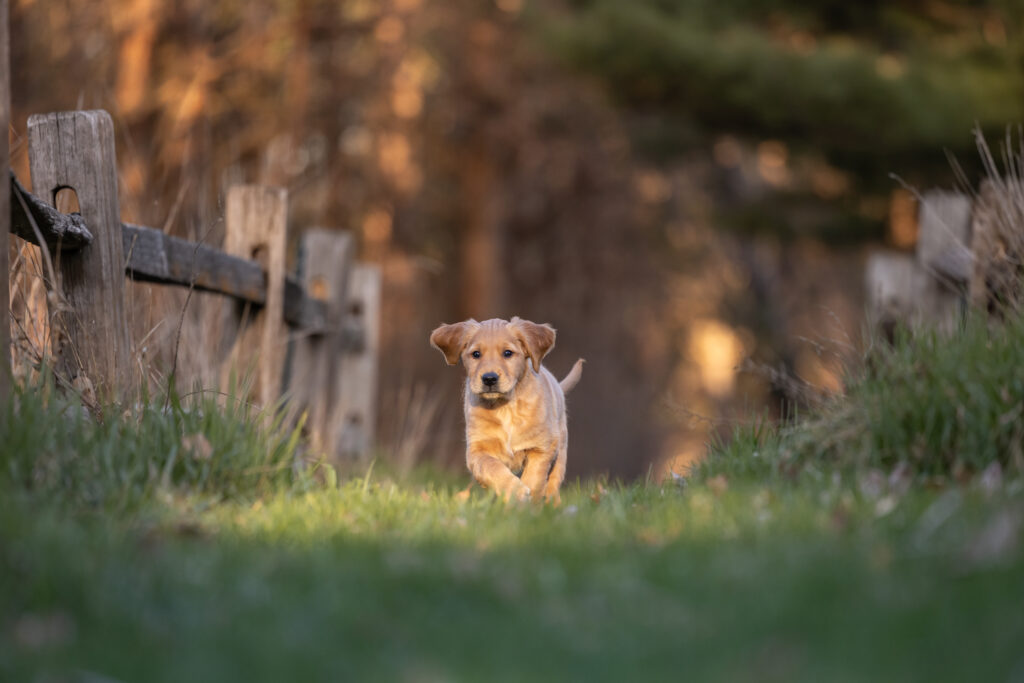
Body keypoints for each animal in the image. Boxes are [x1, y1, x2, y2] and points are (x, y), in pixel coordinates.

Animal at [428, 317, 581, 505]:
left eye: (508, 353)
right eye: (476, 354)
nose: (489, 378)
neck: (505, 407)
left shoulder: (542, 447)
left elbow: (535, 478)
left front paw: (527, 503)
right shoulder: (476, 451)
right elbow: (492, 468)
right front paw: (516, 492)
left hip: (561, 449)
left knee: (553, 483)